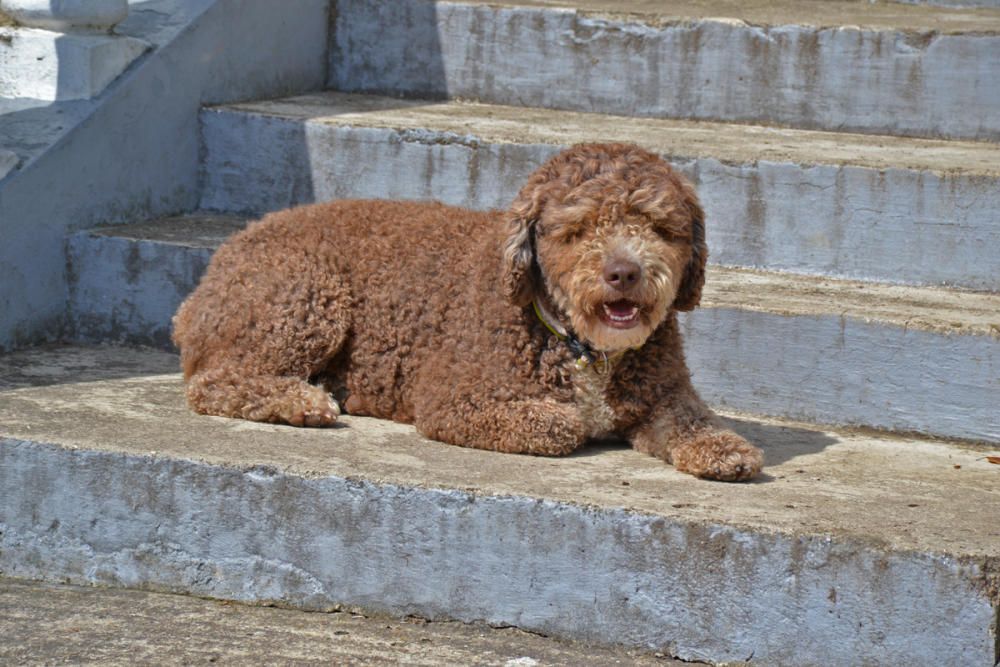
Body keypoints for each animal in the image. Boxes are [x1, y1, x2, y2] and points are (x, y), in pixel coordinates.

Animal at [174, 144, 764, 482]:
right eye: (578, 229)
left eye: (660, 227)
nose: (623, 272)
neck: (580, 346)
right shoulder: (454, 396)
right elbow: (562, 423)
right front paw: (573, 420)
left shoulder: (664, 395)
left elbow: (691, 422)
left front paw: (724, 448)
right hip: (305, 299)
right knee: (215, 381)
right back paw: (301, 402)